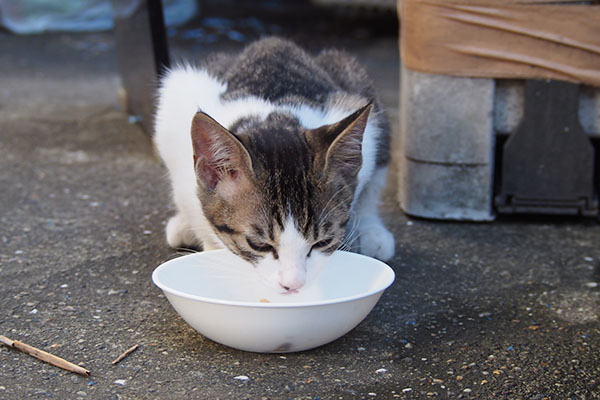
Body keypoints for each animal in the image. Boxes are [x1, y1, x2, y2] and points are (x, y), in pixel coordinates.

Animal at [154, 37, 394, 292]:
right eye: (258, 244)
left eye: (323, 242)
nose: (294, 285)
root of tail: (272, 41)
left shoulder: (353, 113)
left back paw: (373, 232)